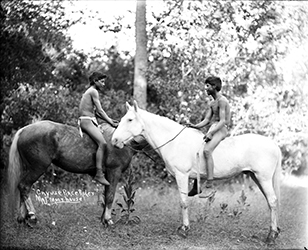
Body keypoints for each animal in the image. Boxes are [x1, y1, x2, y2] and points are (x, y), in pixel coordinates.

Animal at [6, 120, 147, 228]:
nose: (135, 141)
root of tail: (23, 130)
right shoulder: (114, 172)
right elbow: (110, 196)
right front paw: (108, 220)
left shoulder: (108, 176)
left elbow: (107, 195)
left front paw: (103, 221)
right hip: (37, 168)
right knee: (24, 186)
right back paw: (32, 216)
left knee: (23, 188)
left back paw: (23, 218)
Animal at [111, 100, 282, 243]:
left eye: (130, 120)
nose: (114, 140)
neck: (175, 142)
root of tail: (274, 144)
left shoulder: (181, 175)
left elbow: (183, 202)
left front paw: (184, 229)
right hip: (256, 177)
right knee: (270, 202)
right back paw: (274, 231)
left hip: (263, 178)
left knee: (272, 201)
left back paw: (271, 236)